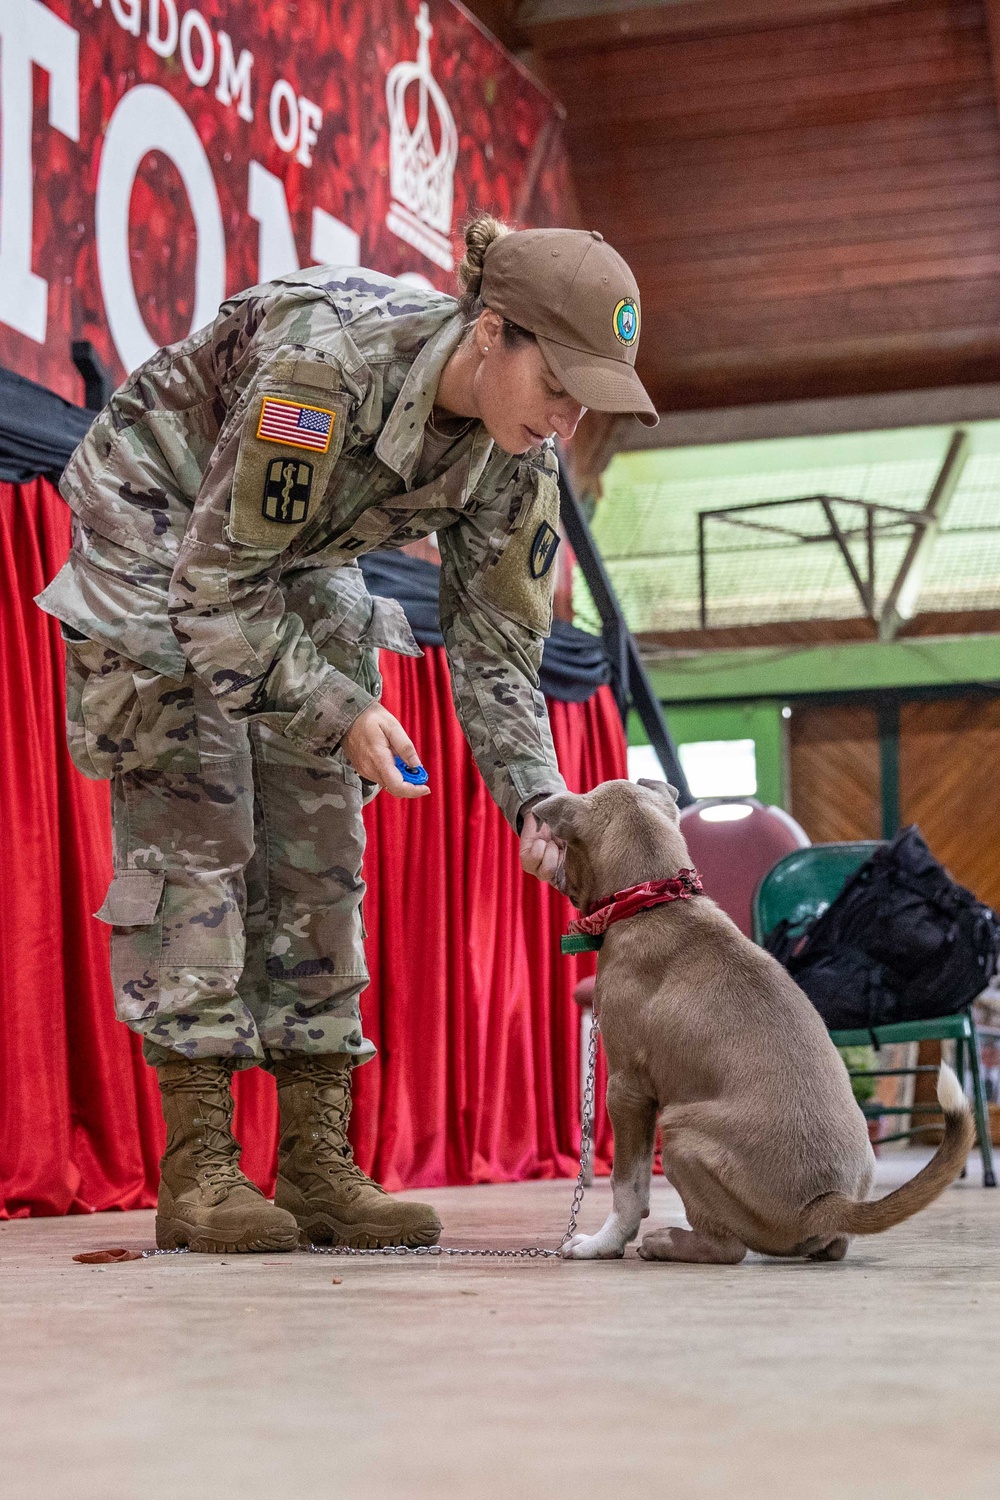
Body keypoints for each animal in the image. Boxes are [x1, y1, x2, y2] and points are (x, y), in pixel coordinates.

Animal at [536, 780, 971, 1260]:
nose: (553, 870)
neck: (655, 901)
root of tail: (828, 1202)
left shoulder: (627, 1090)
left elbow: (627, 1185)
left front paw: (602, 1243)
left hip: (680, 1131)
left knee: (727, 1248)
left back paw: (668, 1242)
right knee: (832, 1247)